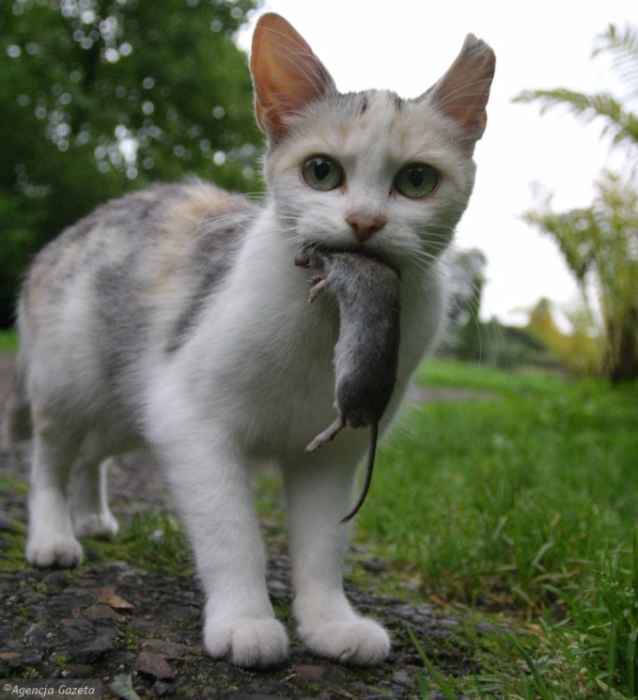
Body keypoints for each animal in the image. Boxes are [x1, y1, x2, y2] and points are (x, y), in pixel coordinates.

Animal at [2, 12, 498, 668]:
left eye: (417, 180)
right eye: (322, 172)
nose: (364, 222)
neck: (332, 317)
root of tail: (74, 230)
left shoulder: (335, 452)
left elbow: (322, 547)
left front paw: (330, 623)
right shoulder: (190, 419)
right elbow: (231, 533)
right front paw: (245, 620)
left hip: (125, 405)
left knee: (91, 456)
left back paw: (91, 516)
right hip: (70, 386)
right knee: (51, 461)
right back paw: (54, 534)